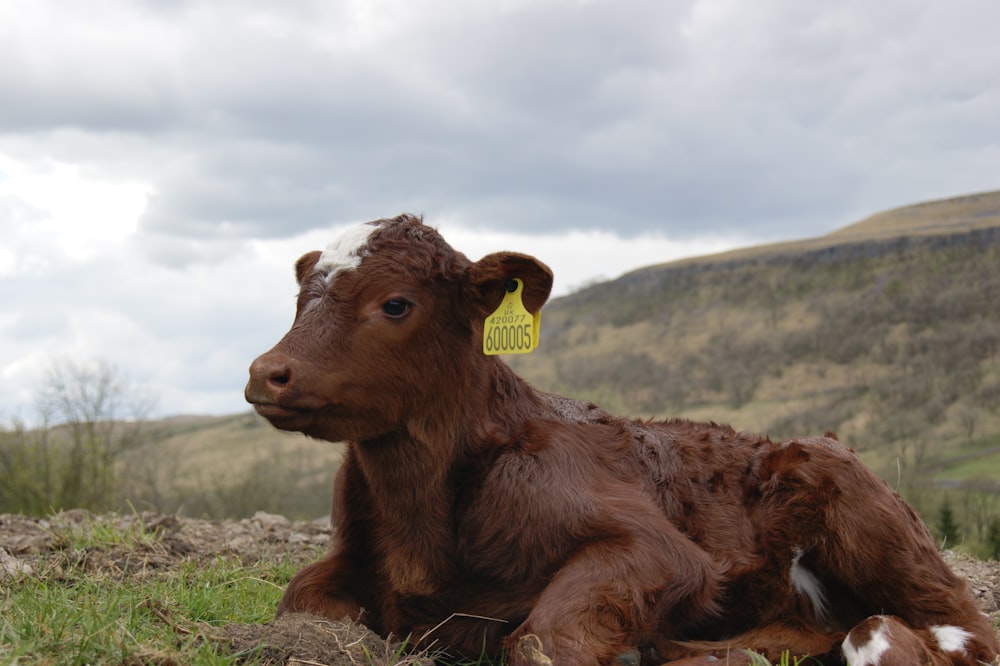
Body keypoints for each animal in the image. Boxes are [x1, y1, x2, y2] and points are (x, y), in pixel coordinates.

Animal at [244, 215, 1000, 660]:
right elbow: (298, 602)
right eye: (300, 296)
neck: (419, 523)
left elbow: (541, 639)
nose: (266, 373)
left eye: (396, 303)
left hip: (867, 517)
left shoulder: (658, 548)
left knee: (950, 626)